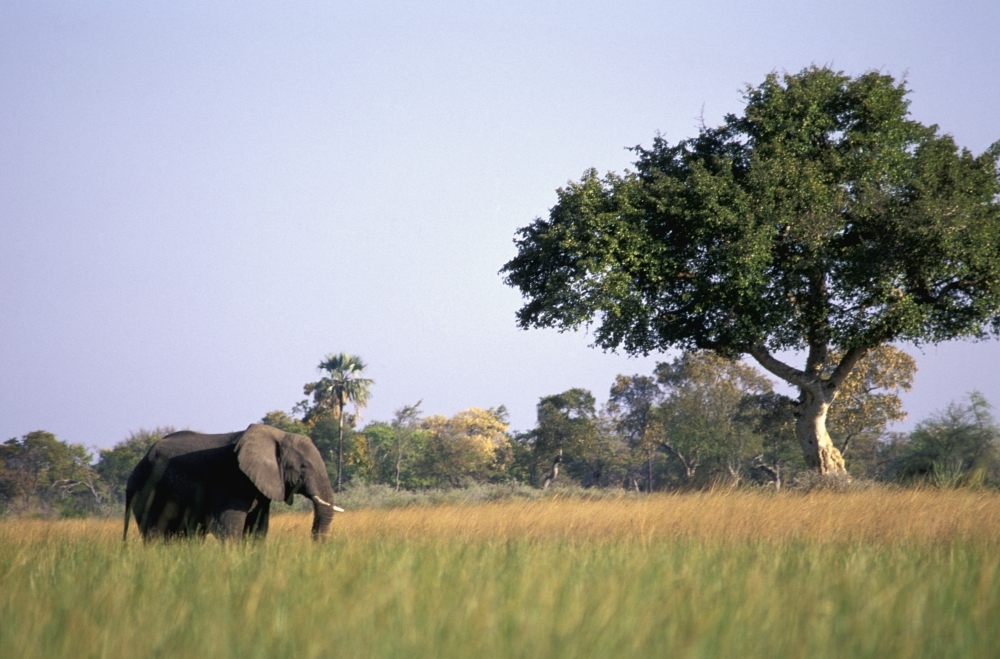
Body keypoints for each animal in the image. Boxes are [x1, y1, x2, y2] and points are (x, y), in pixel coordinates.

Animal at [124, 423, 340, 541]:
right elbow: (227, 525)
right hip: (147, 489)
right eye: (303, 467)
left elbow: (258, 527)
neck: (278, 435)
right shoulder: (231, 478)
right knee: (155, 533)